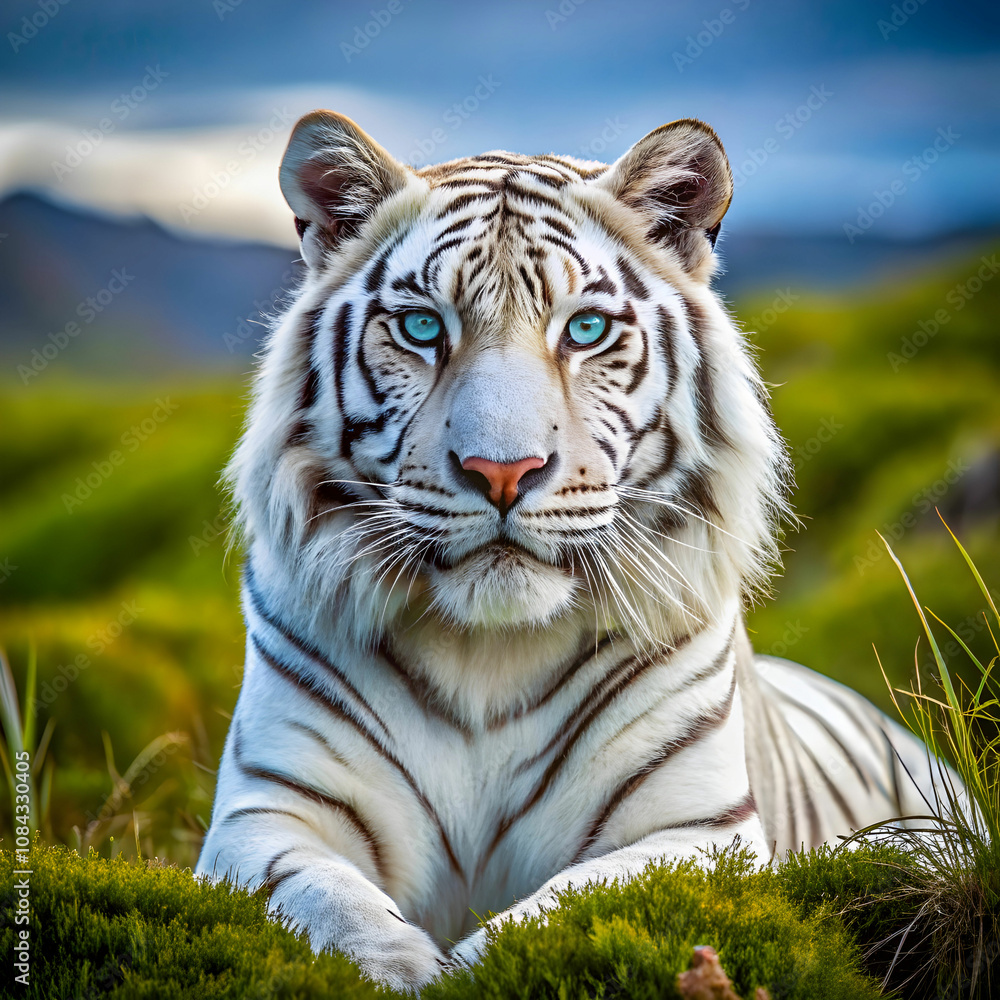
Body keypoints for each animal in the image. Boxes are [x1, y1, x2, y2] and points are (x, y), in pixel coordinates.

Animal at [196, 110, 942, 992]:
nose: (502, 470)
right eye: (422, 327)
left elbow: (556, 911)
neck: (485, 655)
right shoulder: (266, 815)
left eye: (585, 329)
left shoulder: (695, 830)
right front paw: (401, 971)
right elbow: (329, 906)